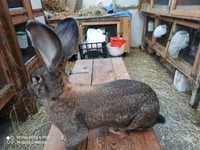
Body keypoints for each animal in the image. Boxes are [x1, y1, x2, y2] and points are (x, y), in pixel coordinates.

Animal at [26, 18, 164, 149]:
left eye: (36, 79)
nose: (29, 88)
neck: (59, 95)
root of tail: (157, 108)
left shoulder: (76, 130)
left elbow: (76, 139)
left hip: (139, 118)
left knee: (132, 129)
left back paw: (116, 130)